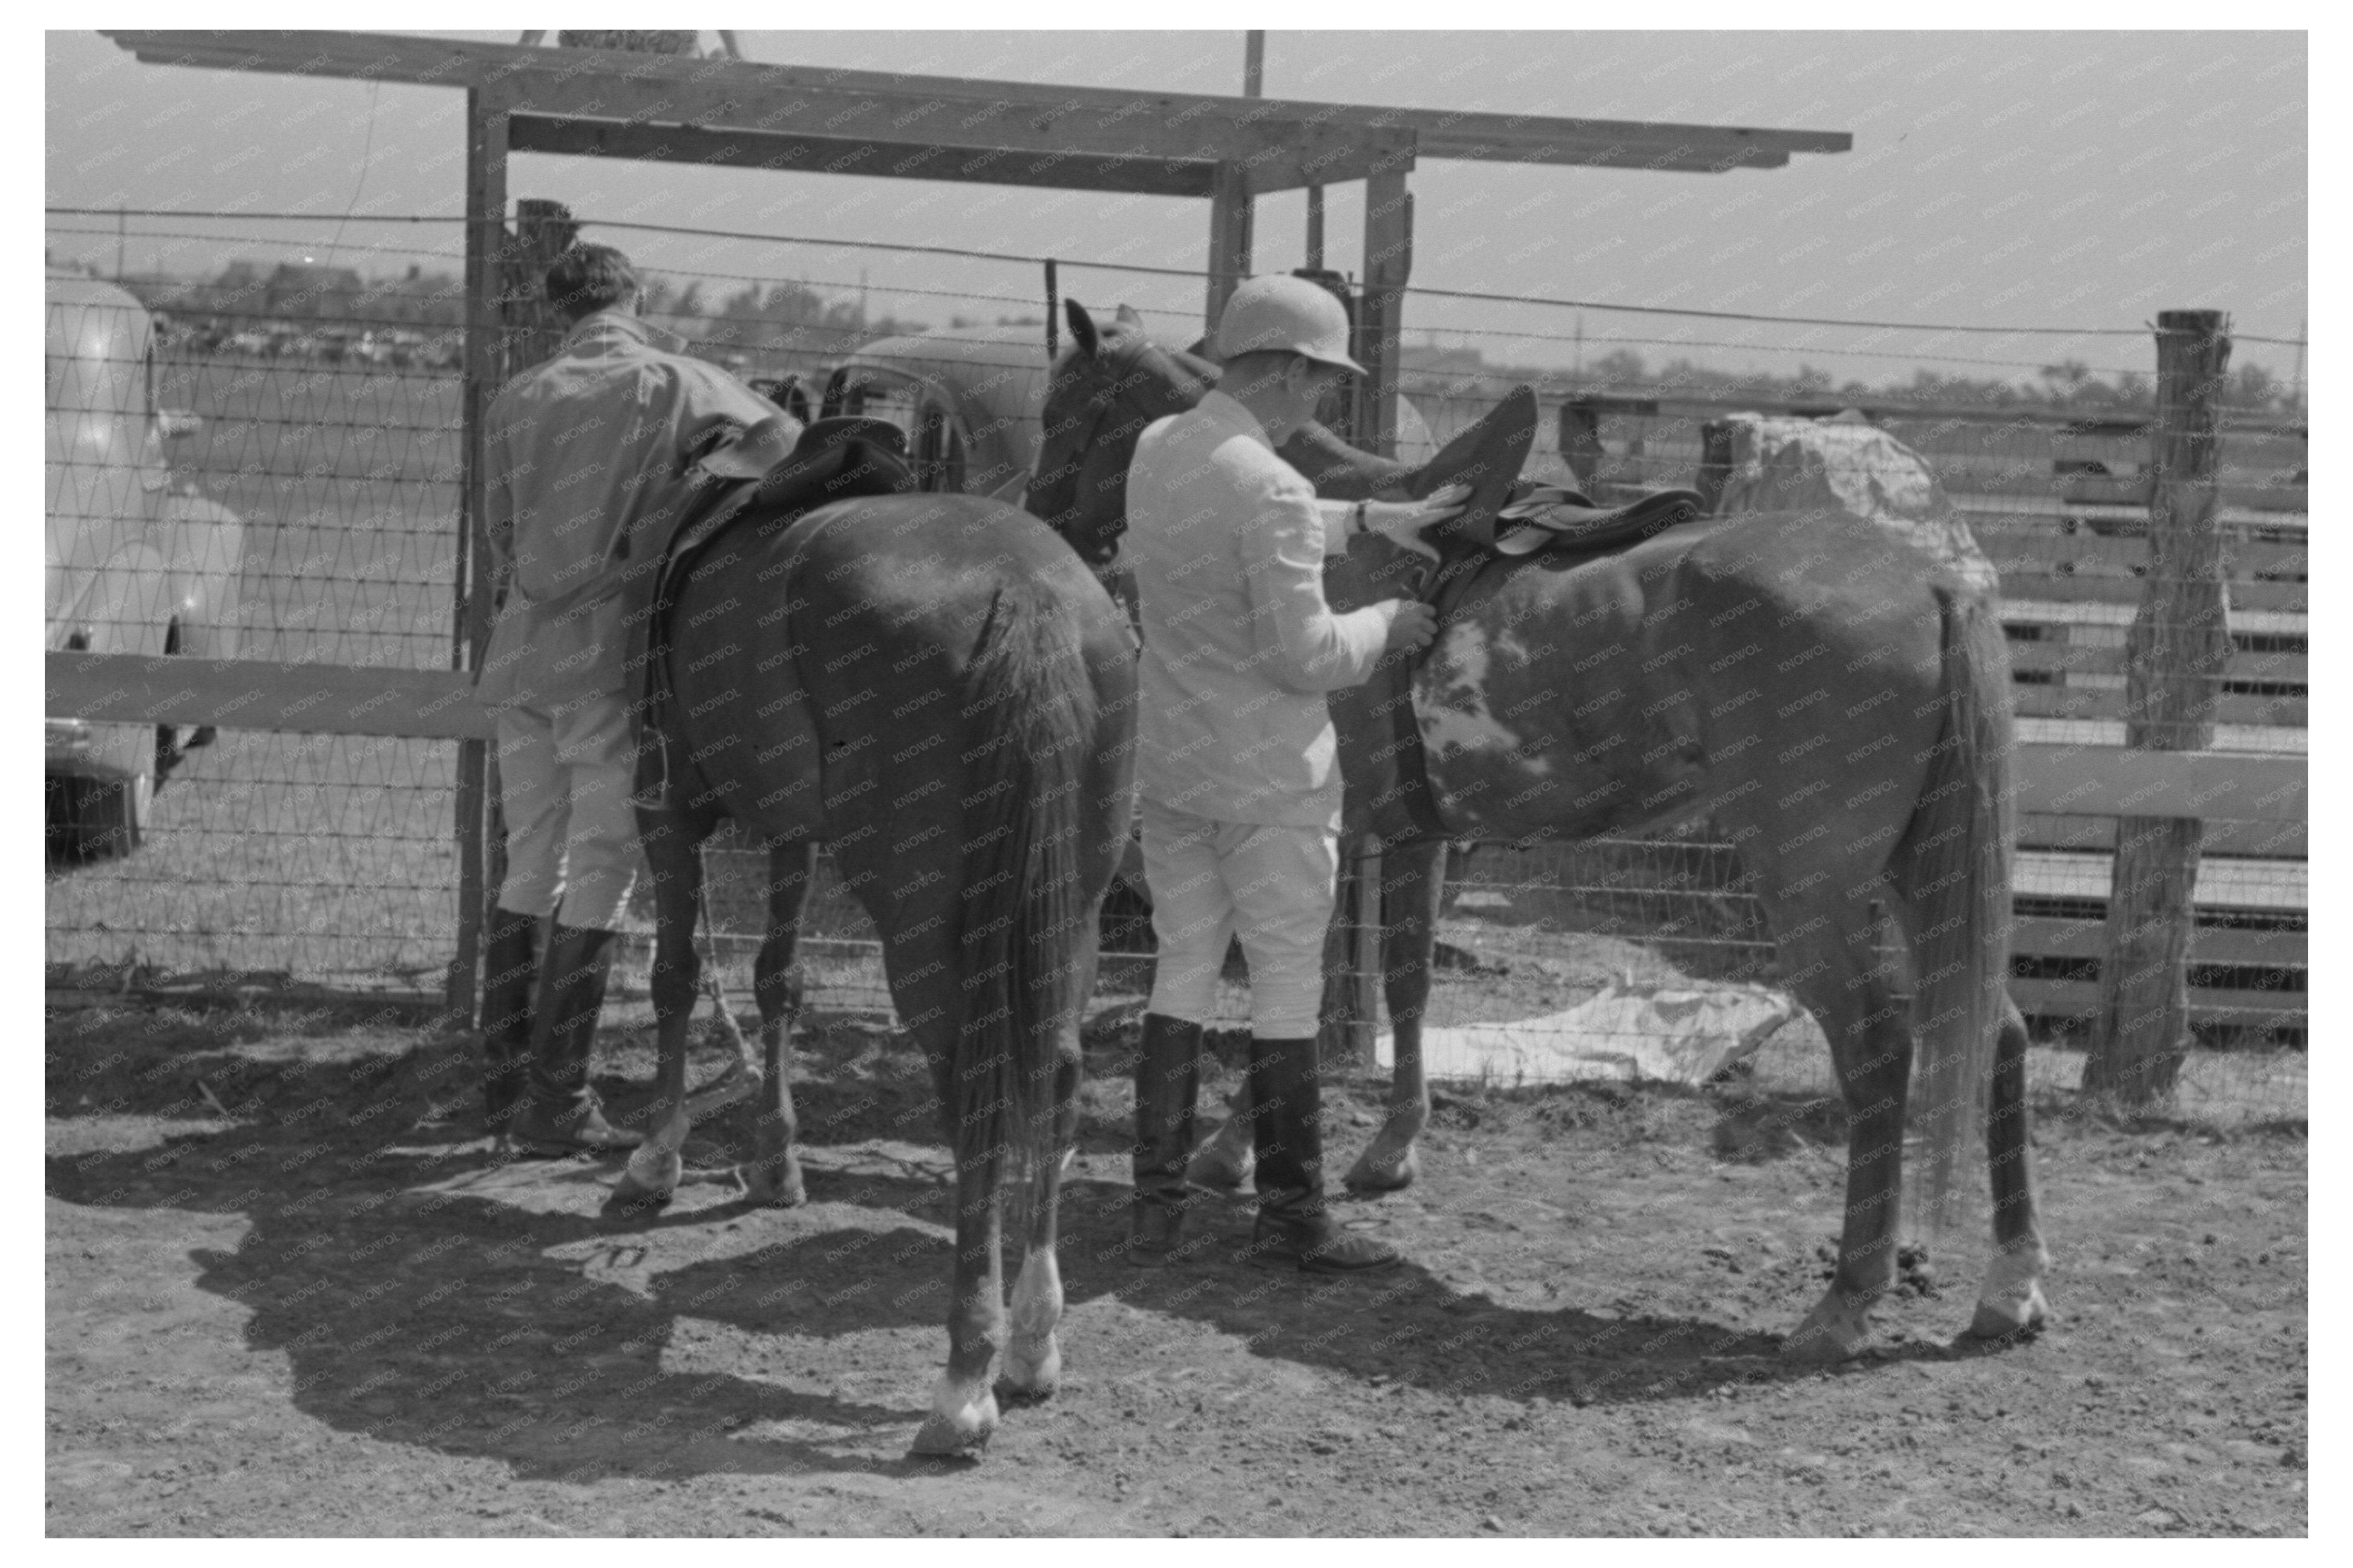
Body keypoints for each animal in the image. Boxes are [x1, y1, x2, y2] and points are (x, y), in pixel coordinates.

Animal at [616, 466, 1139, 1450]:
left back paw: (965, 1380)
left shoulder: (665, 806)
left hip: (930, 931)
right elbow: (777, 978)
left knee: (976, 1101)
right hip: (1071, 914)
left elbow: (675, 976)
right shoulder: (792, 826)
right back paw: (1032, 1343)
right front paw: (776, 1162)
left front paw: (656, 1157)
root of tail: (1027, 590)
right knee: (1055, 1078)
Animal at [1030, 301, 2042, 1356]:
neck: (1343, 546)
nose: (1041, 518)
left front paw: (1236, 1151)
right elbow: (1400, 981)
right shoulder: (1413, 834)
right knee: (1999, 1033)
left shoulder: (1331, 831)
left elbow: (1299, 988)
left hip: (1813, 890)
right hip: (1920, 874)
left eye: (1065, 413)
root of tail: (1928, 583)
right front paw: (1387, 1148)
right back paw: (2008, 1285)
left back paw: (1846, 1299)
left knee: (1881, 1049)